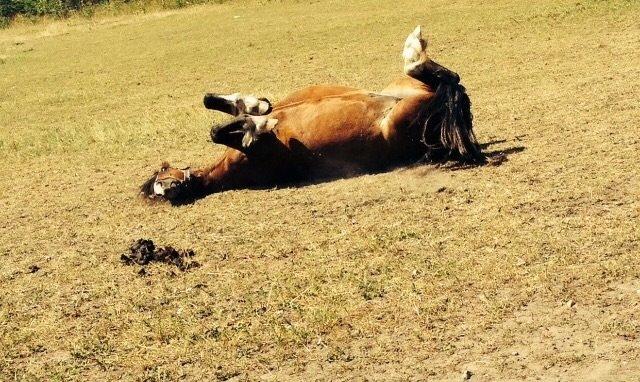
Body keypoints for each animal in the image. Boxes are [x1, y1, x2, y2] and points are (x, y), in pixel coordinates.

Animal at [141, 26, 484, 203]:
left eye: (161, 178)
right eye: (157, 190)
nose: (171, 190)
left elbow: (224, 110)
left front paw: (257, 109)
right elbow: (225, 131)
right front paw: (257, 122)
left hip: (402, 89)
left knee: (446, 76)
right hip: (404, 114)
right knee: (445, 78)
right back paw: (414, 50)